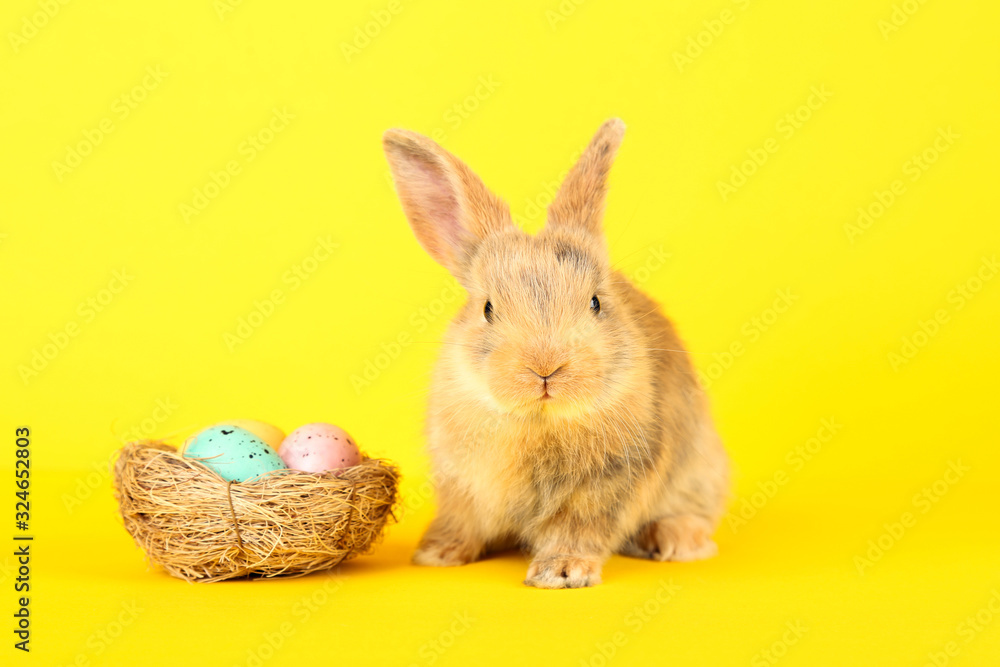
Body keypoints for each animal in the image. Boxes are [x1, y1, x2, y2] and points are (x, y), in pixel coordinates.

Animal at [382, 118, 730, 588]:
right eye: (487, 308)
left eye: (596, 302)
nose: (545, 368)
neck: (538, 420)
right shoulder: (461, 486)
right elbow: (462, 521)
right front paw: (437, 554)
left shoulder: (603, 487)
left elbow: (576, 529)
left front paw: (561, 573)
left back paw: (674, 540)